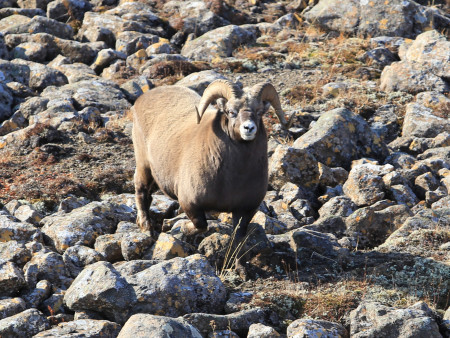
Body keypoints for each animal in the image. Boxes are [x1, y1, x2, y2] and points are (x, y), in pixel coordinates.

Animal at [131, 78, 292, 251]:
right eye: (231, 112)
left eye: (259, 112)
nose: (249, 128)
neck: (232, 178)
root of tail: (141, 100)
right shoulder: (190, 204)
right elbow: (201, 225)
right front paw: (183, 228)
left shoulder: (244, 211)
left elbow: (237, 238)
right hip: (144, 166)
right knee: (141, 193)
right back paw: (146, 228)